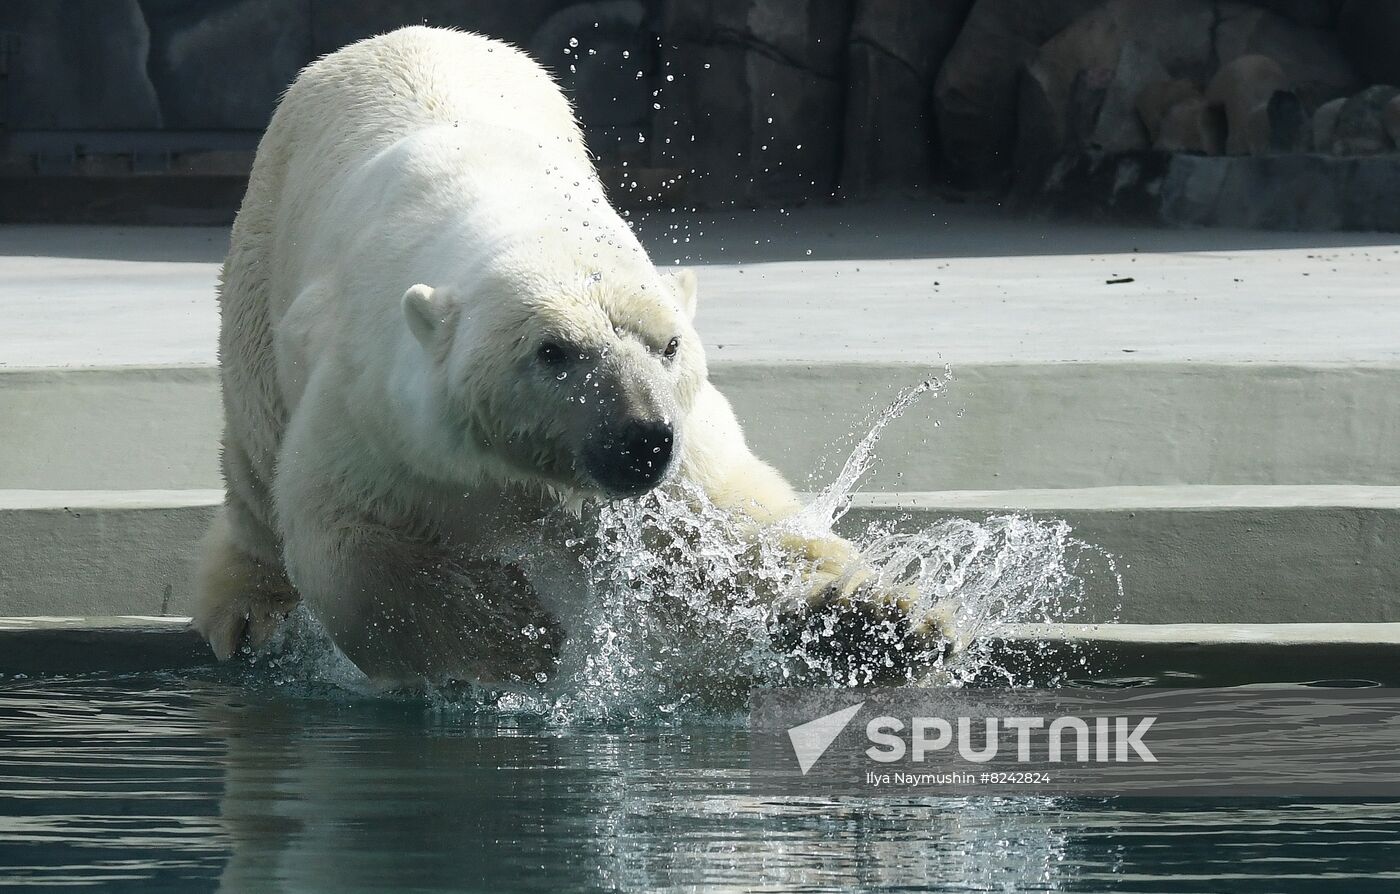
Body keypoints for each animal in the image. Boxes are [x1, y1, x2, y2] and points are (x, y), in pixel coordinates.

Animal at [194, 26, 940, 685]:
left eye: (669, 345)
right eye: (553, 351)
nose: (642, 438)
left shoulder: (686, 439)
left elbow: (740, 520)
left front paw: (886, 626)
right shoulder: (379, 408)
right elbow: (345, 542)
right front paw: (516, 641)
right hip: (262, 265)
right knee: (257, 457)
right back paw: (244, 616)